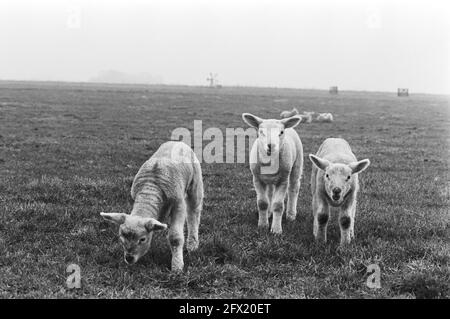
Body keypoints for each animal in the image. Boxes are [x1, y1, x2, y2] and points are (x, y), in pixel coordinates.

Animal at [100, 142, 204, 272]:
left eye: (142, 239)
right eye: (121, 237)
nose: (129, 258)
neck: (150, 188)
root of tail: (178, 142)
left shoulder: (178, 204)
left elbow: (175, 238)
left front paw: (177, 266)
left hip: (195, 182)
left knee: (193, 213)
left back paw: (192, 245)